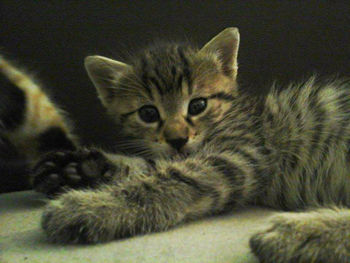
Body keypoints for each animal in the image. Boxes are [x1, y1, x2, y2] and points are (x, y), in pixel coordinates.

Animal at [32, 27, 348, 262]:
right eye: (148, 113)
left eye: (197, 105)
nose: (177, 138)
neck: (231, 114)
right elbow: (151, 164)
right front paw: (78, 168)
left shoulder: (242, 153)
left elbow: (171, 178)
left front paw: (90, 206)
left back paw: (301, 235)